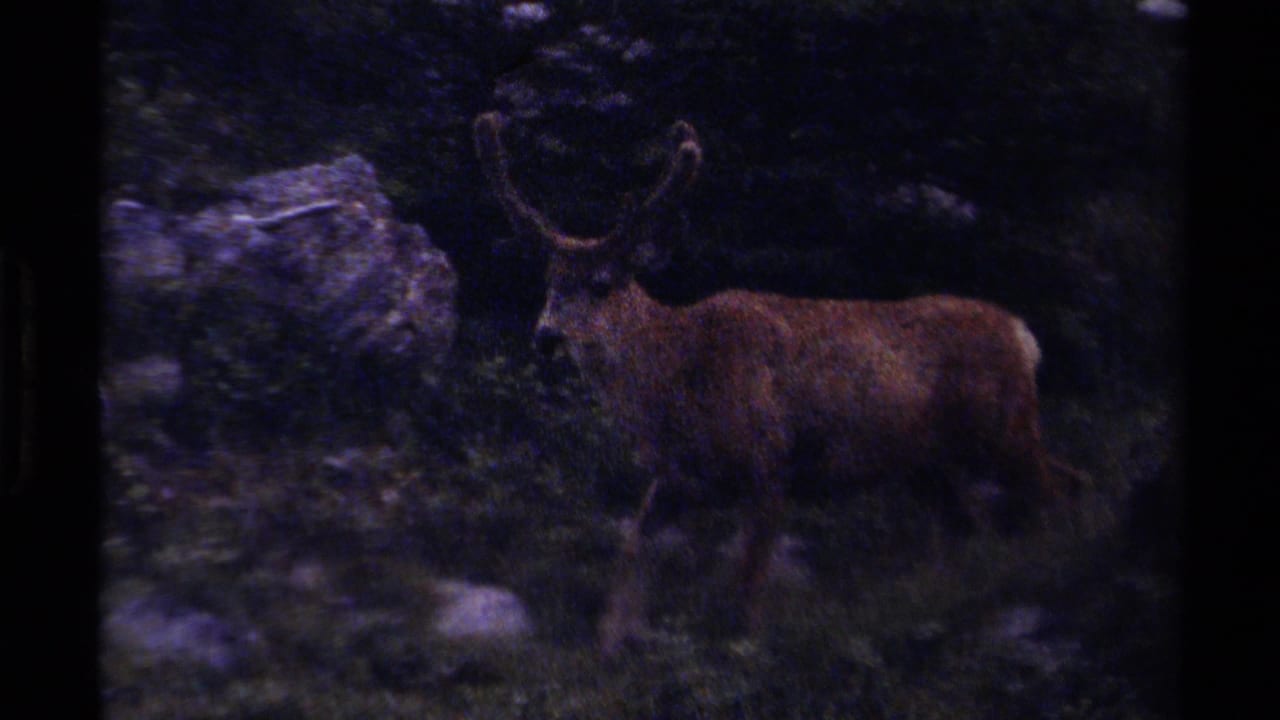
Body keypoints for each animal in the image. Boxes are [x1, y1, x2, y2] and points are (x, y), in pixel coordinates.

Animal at [473, 111, 1076, 656]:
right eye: (549, 282)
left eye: (601, 284)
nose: (546, 336)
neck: (678, 373)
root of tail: (1023, 334)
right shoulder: (676, 478)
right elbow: (631, 557)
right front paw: (611, 645)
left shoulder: (769, 458)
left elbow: (748, 584)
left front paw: (745, 650)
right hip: (930, 465)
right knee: (997, 514)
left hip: (1002, 428)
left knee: (1055, 492)